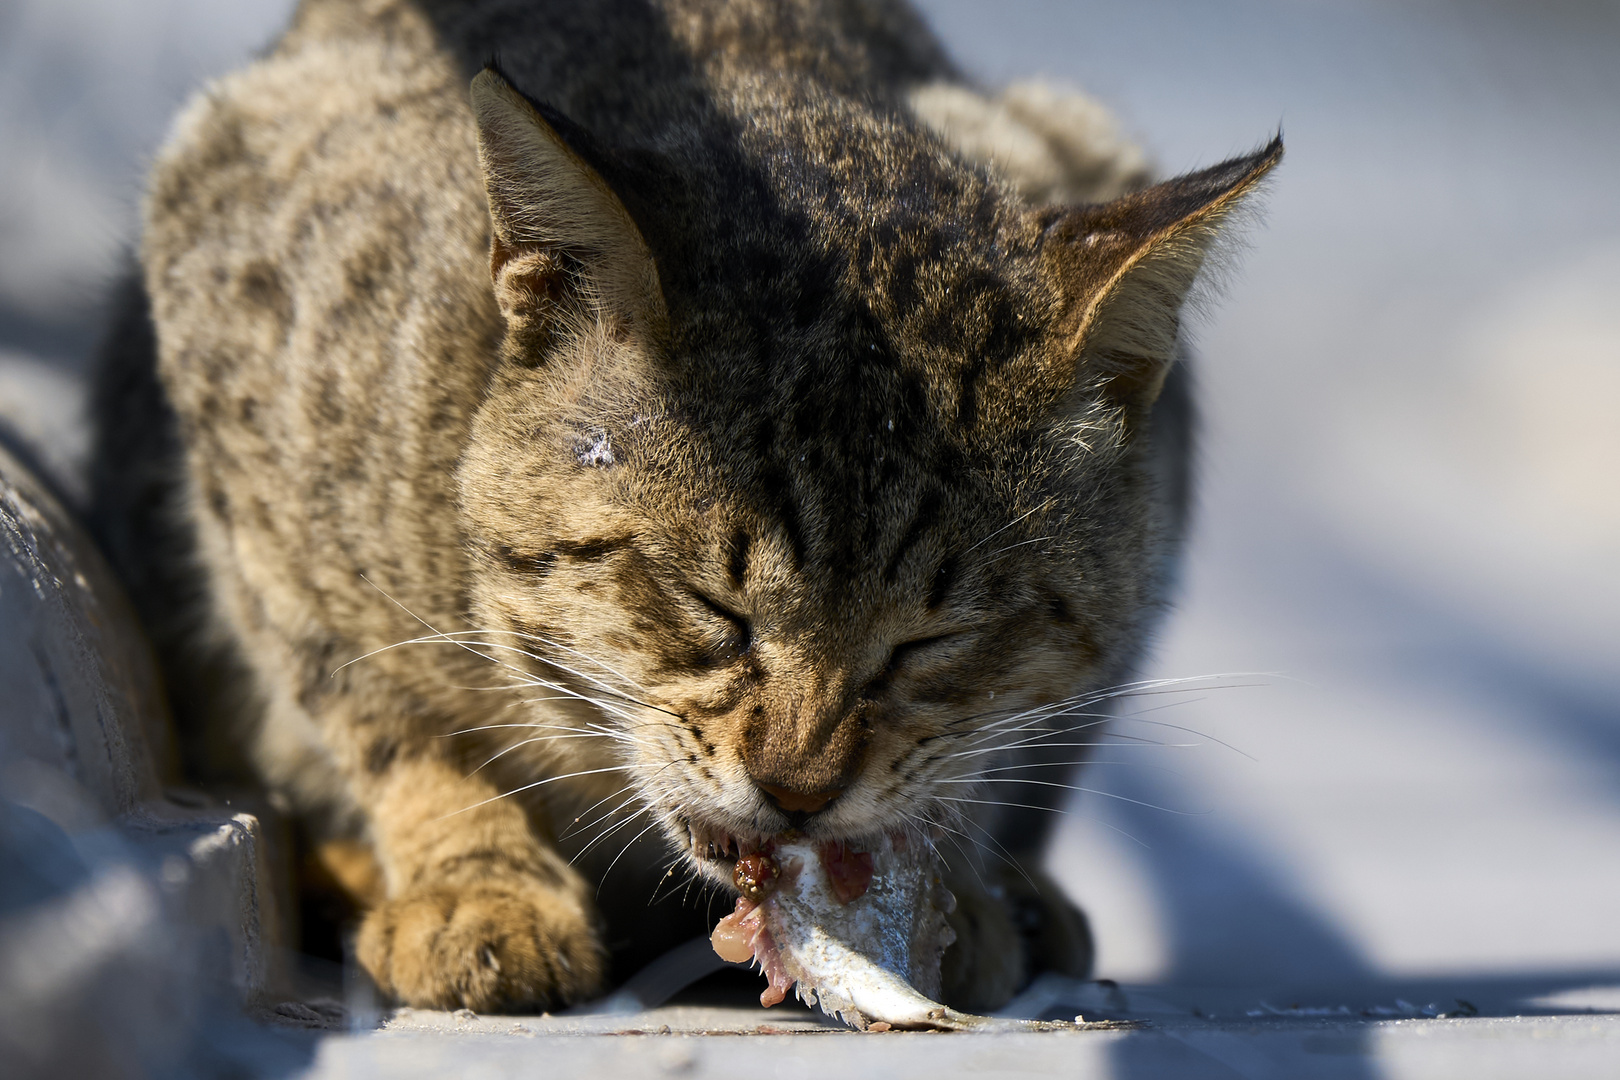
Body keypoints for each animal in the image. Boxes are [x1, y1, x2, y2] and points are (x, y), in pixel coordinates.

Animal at [88, 0, 1276, 1016]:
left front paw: (959, 883)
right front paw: (476, 878)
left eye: (932, 641)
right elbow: (383, 711)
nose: (797, 790)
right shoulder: (237, 336)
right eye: (712, 605)